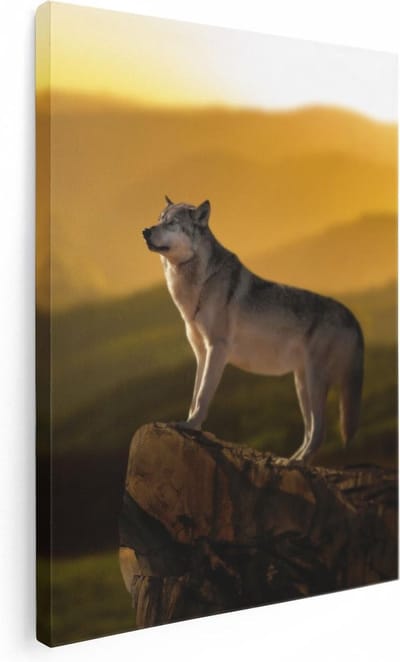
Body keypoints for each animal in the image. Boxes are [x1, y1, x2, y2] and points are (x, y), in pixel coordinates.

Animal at [142, 197, 364, 463]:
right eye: (158, 219)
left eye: (172, 223)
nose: (145, 231)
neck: (200, 283)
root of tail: (351, 316)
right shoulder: (201, 353)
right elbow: (195, 395)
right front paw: (188, 424)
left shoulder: (217, 349)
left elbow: (203, 396)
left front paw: (191, 426)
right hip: (302, 385)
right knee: (310, 430)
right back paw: (288, 460)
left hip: (315, 381)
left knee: (319, 431)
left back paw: (295, 463)